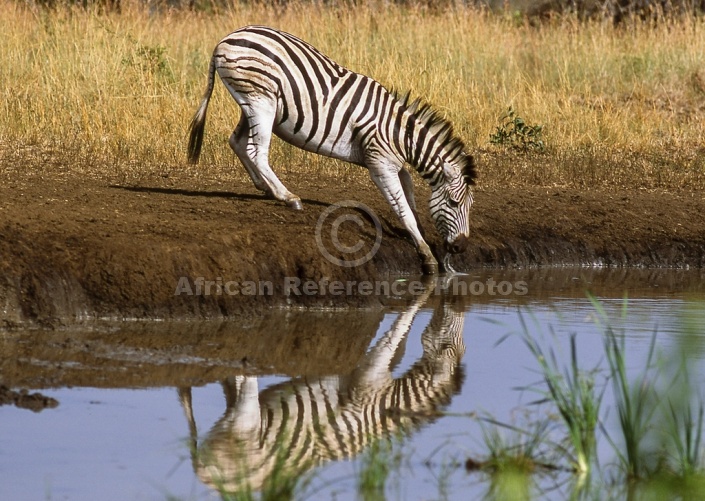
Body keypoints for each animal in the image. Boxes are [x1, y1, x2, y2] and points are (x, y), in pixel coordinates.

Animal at [176, 280, 464, 494]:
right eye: (447, 346)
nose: (455, 304)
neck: (390, 402)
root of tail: (206, 477)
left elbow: (400, 341)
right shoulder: (367, 379)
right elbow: (400, 328)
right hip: (242, 426)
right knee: (246, 390)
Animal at [187, 25, 476, 274]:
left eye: (469, 205)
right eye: (453, 203)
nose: (461, 247)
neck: (398, 134)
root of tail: (226, 38)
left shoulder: (394, 163)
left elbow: (410, 194)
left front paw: (420, 235)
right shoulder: (380, 163)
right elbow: (402, 207)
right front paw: (425, 253)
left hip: (249, 102)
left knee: (238, 142)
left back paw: (265, 187)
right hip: (261, 100)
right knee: (258, 152)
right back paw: (287, 196)